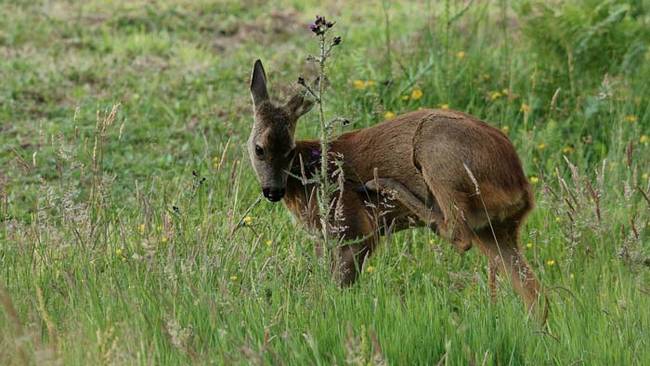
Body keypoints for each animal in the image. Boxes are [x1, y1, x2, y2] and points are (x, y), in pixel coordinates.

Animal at [246, 58, 544, 322]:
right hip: (495, 230)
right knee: (535, 291)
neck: (308, 174)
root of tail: (520, 185)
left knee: (457, 233)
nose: (273, 191)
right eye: (259, 149)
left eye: (288, 151)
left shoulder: (353, 228)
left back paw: (383, 186)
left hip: (435, 154)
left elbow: (338, 286)